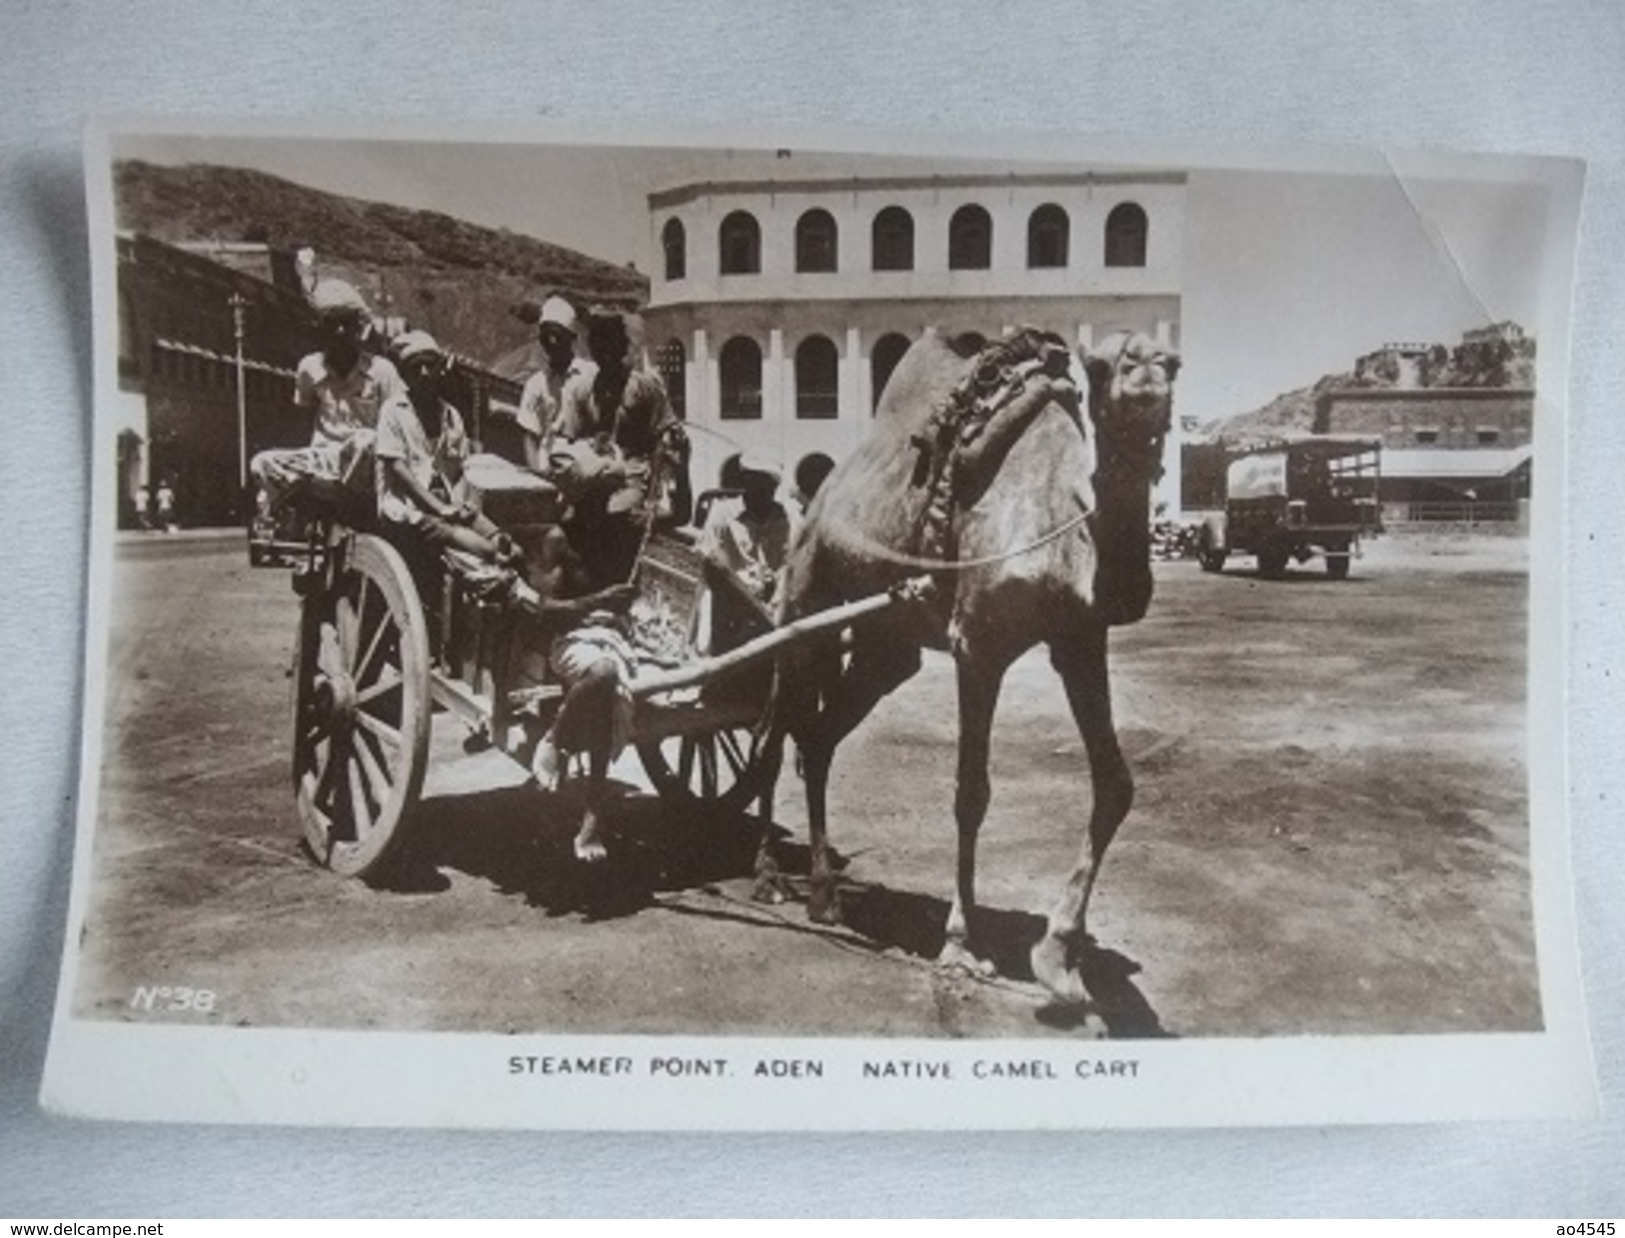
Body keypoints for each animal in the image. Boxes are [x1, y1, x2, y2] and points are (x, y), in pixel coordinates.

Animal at [760, 323, 1183, 1000]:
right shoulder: (978, 646)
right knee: (780, 728)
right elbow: (971, 792)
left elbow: (1115, 784)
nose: (1145, 372)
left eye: (1176, 362)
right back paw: (771, 876)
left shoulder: (1079, 640)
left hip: (886, 644)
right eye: (1096, 366)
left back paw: (825, 894)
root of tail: (814, 499)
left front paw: (1060, 955)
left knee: (819, 736)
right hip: (804, 601)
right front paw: (960, 944)